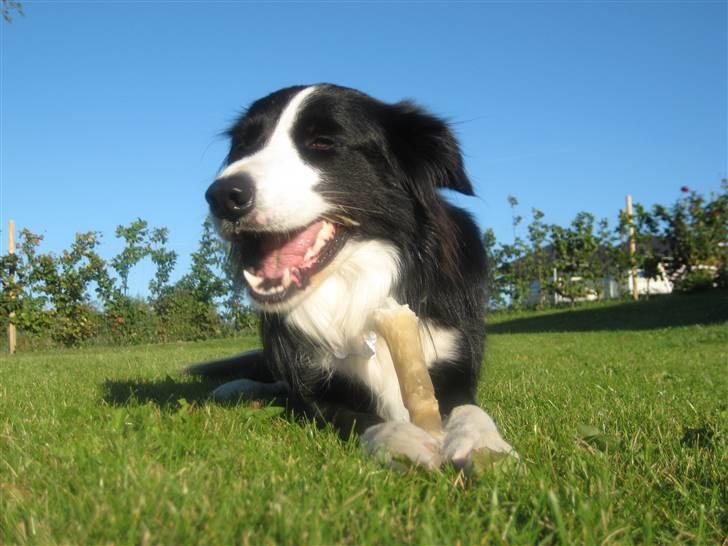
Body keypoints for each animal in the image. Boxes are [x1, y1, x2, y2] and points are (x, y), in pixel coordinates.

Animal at [191, 84, 516, 468]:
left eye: (323, 143)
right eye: (244, 145)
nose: (223, 196)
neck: (361, 288)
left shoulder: (454, 363)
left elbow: (469, 409)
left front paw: (483, 444)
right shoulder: (317, 387)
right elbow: (357, 416)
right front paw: (403, 438)